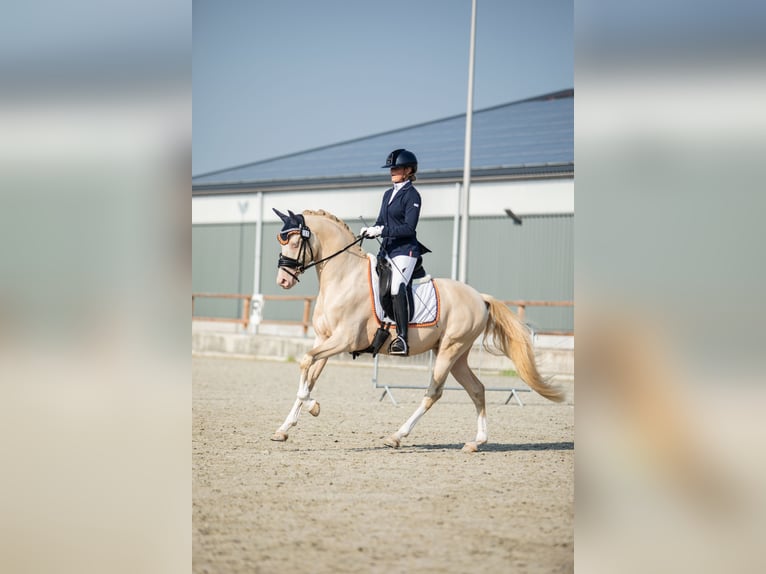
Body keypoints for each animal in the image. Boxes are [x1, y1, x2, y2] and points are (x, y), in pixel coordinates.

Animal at [271, 208, 565, 452]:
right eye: (282, 242)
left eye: (295, 243)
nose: (283, 280)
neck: (344, 278)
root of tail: (480, 298)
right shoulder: (324, 339)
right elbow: (309, 374)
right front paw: (285, 428)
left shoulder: (343, 340)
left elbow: (305, 363)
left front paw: (312, 406)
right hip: (458, 355)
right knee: (477, 389)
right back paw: (476, 442)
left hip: (449, 350)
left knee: (433, 393)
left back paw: (397, 436)